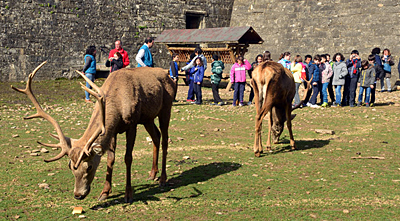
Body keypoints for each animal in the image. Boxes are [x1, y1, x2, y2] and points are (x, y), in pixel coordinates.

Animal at [11, 61, 175, 203]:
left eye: (88, 167)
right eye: (70, 166)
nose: (78, 195)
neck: (117, 105)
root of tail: (169, 75)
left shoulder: (132, 123)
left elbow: (128, 158)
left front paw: (128, 194)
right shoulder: (113, 130)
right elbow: (110, 158)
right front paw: (104, 193)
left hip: (166, 107)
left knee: (165, 139)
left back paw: (163, 179)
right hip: (148, 118)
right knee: (156, 136)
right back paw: (152, 174)